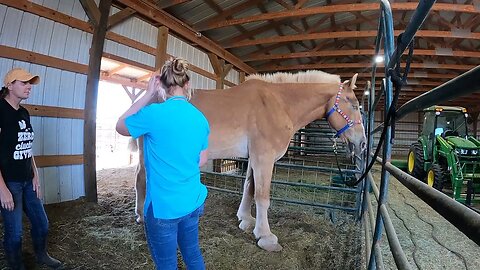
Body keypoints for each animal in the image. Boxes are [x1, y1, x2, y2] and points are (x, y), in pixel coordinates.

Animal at [133, 69, 366, 251]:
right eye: (354, 105)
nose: (362, 143)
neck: (279, 104)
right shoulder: (264, 157)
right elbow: (262, 197)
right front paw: (266, 237)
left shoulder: (254, 158)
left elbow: (249, 188)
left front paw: (245, 219)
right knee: (141, 179)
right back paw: (142, 217)